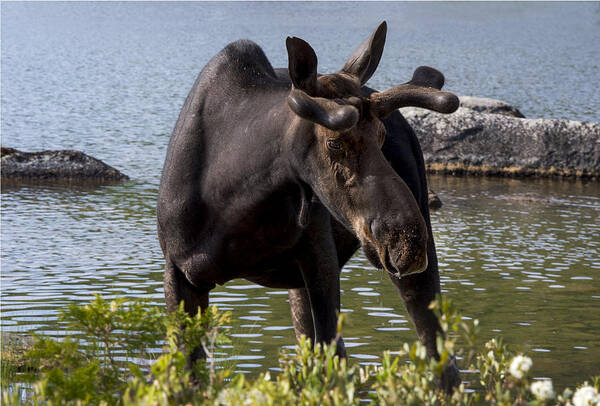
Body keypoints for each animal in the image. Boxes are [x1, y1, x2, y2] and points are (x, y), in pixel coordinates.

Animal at [158, 22, 460, 390]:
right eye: (334, 143)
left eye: (382, 135)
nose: (406, 240)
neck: (234, 200)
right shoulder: (178, 272)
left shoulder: (320, 259)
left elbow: (332, 363)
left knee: (440, 358)